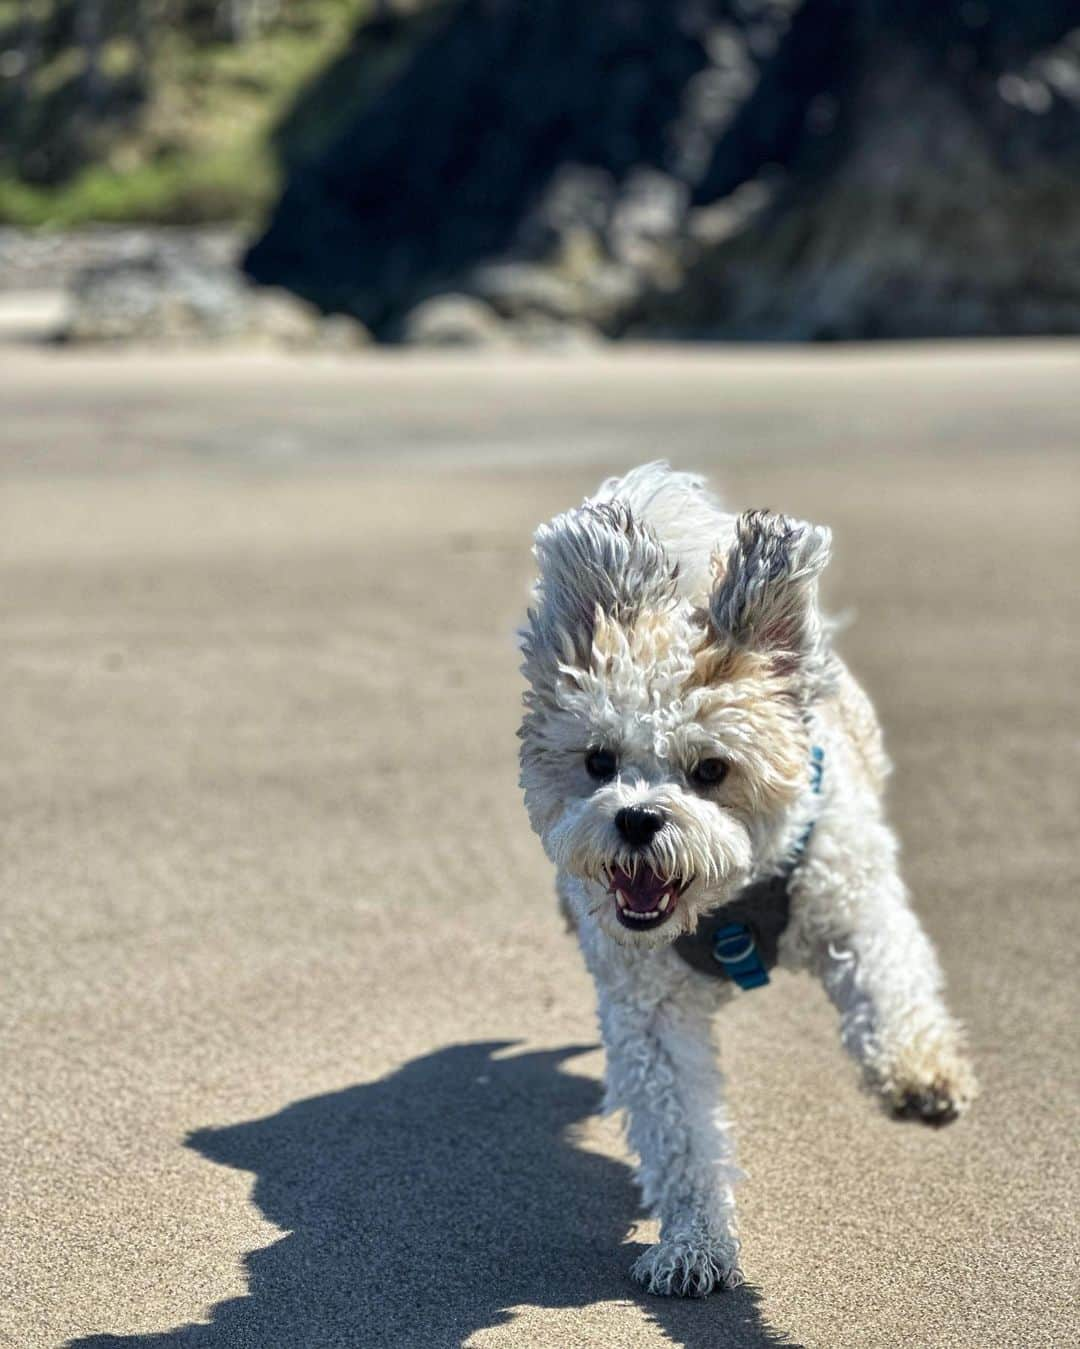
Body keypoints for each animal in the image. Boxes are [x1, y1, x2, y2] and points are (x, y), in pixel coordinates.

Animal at [515, 461, 976, 1295]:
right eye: (599, 760)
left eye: (711, 769)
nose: (637, 818)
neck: (725, 908)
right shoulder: (650, 1014)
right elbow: (681, 1136)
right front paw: (694, 1241)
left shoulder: (852, 902)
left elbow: (890, 984)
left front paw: (918, 1072)